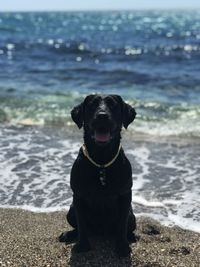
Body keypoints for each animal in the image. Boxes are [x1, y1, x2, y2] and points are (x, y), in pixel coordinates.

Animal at [59, 95, 137, 258]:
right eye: (92, 105)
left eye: (113, 105)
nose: (102, 116)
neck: (101, 161)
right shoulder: (78, 196)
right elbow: (82, 225)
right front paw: (82, 245)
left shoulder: (125, 195)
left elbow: (121, 225)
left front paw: (122, 246)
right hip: (71, 211)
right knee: (80, 227)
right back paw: (69, 234)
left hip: (132, 216)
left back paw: (131, 236)